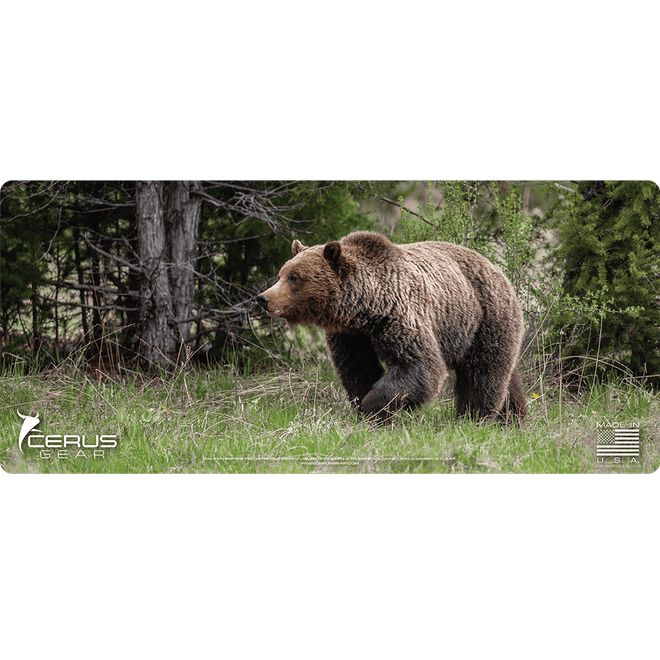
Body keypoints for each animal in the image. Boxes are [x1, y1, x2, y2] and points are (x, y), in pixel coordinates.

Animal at [256, 231, 527, 425]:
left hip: (483, 317)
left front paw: (374, 407)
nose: (264, 298)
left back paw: (474, 417)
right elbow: (356, 367)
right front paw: (363, 405)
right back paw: (513, 418)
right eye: (281, 274)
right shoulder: (350, 335)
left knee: (482, 372)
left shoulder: (399, 315)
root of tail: (497, 269)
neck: (365, 308)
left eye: (294, 278)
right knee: (508, 377)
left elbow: (418, 364)